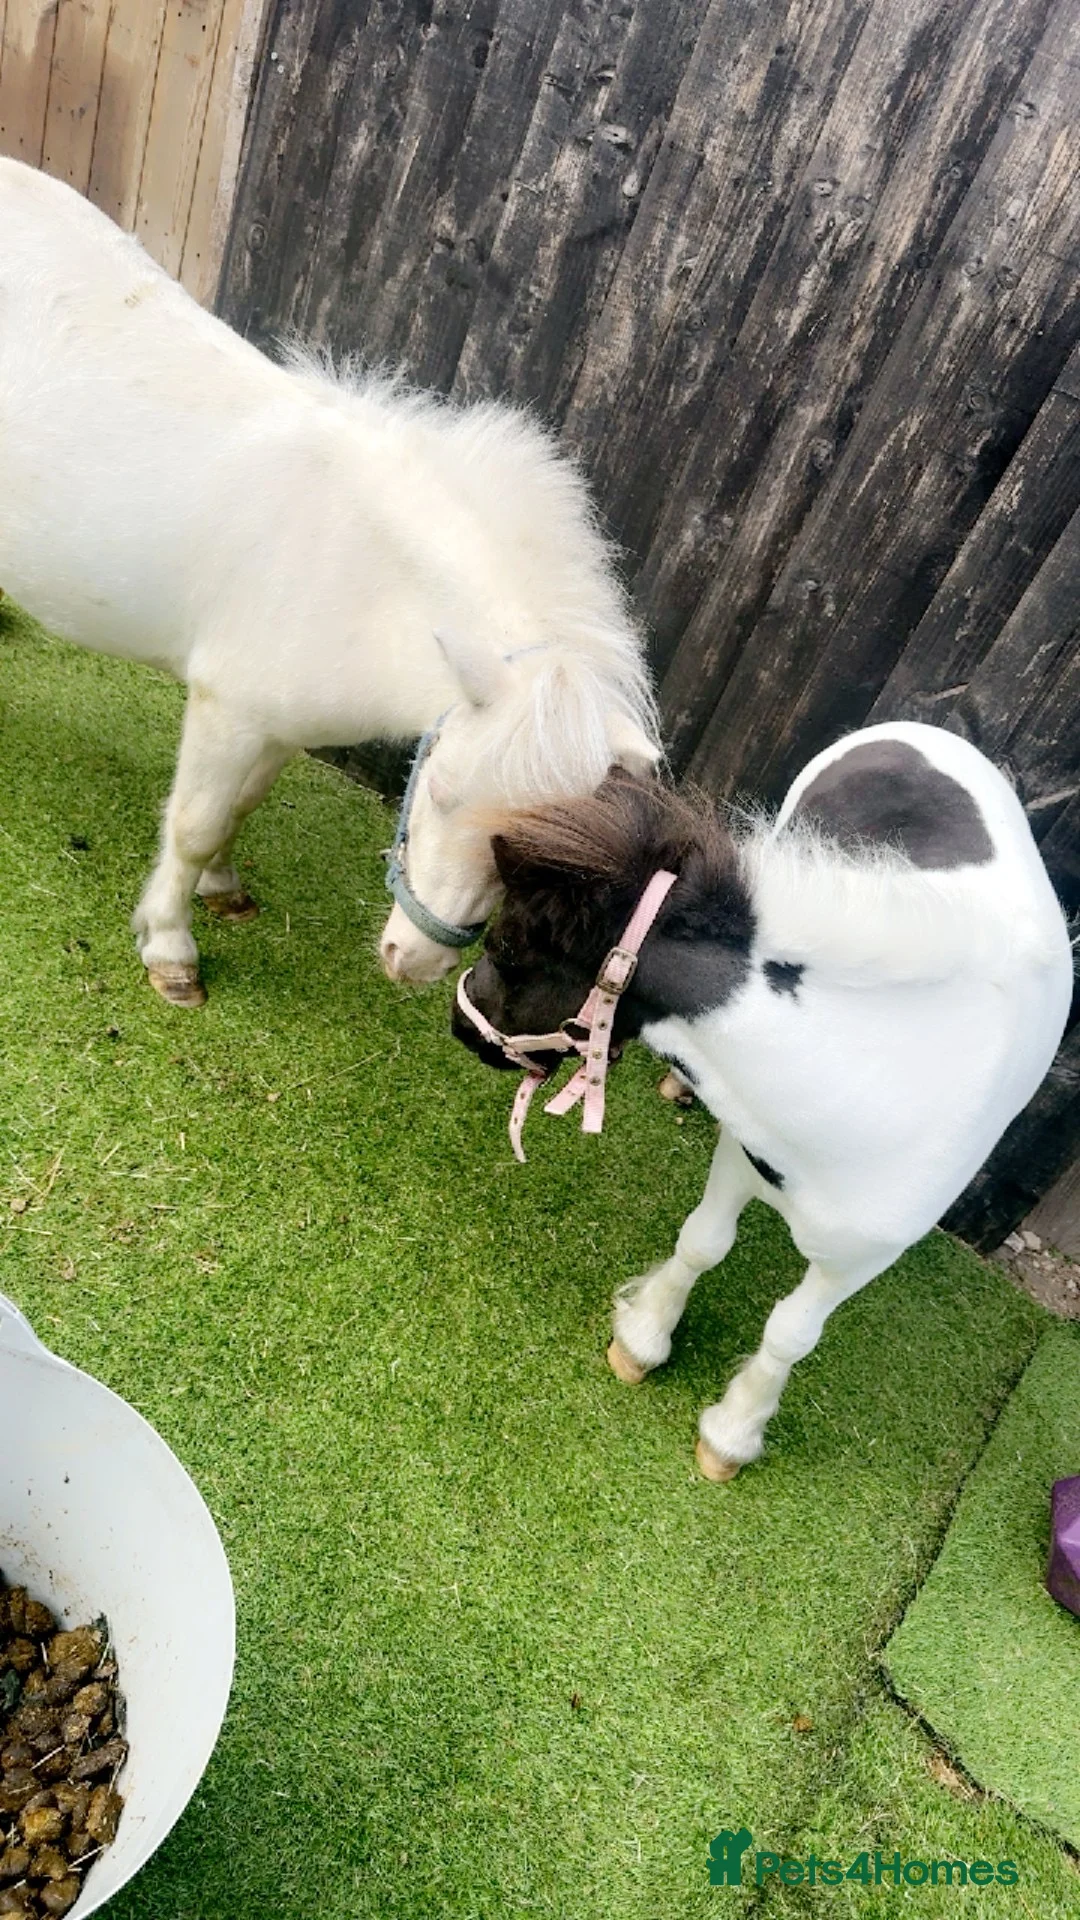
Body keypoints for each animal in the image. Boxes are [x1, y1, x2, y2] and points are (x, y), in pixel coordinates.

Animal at [0, 159, 657, 1007]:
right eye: (439, 792)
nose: (417, 964)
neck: (361, 575)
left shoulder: (277, 728)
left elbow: (240, 808)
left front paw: (224, 889)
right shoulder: (226, 712)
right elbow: (195, 823)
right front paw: (172, 949)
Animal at [452, 722, 1073, 1480]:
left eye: (507, 943)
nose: (459, 1024)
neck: (870, 1083)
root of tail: (929, 731)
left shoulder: (860, 1258)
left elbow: (790, 1336)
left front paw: (733, 1430)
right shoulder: (742, 1154)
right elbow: (701, 1243)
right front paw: (644, 1335)